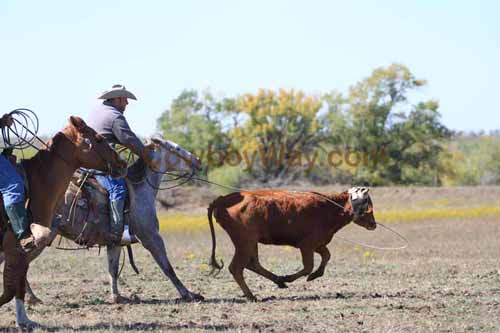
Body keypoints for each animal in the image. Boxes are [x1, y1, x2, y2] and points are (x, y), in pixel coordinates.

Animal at [0, 116, 127, 326]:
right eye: (98, 138)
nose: (122, 162)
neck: (36, 185)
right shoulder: (15, 249)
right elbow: (12, 285)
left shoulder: (21, 252)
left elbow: (17, 285)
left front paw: (25, 320)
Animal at [207, 185, 376, 300]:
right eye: (367, 204)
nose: (373, 224)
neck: (329, 208)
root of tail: (223, 199)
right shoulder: (307, 245)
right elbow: (308, 266)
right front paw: (291, 277)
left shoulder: (318, 243)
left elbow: (326, 256)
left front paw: (315, 275)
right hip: (244, 241)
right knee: (236, 267)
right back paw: (252, 295)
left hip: (251, 242)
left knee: (252, 263)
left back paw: (278, 281)